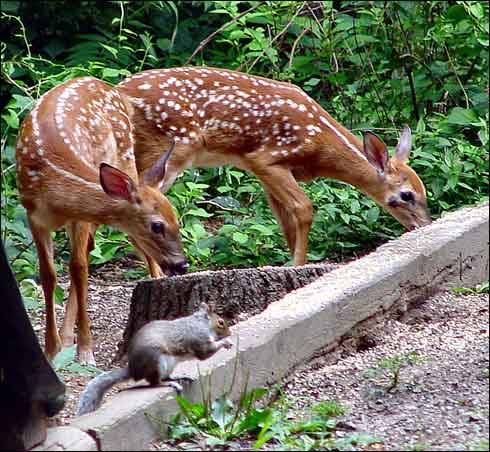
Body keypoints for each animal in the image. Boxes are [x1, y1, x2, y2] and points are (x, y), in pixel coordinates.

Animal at [75, 304, 233, 416]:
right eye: (221, 322)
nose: (230, 332)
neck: (201, 324)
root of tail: (134, 371)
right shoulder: (199, 340)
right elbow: (205, 354)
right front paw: (225, 342)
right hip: (157, 361)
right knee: (154, 383)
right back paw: (168, 384)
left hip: (168, 365)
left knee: (164, 377)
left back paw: (178, 377)